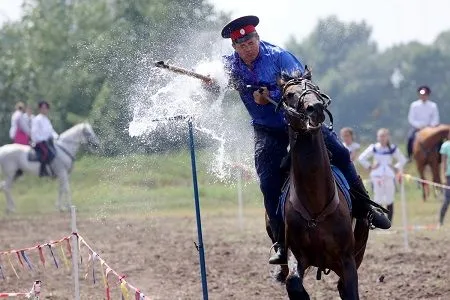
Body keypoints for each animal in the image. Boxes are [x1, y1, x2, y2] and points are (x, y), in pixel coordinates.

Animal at [278, 73, 370, 300]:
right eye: (289, 94)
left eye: (316, 88)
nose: (316, 108)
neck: (315, 203)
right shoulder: (296, 254)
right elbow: (293, 283)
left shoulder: (347, 260)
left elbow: (350, 289)